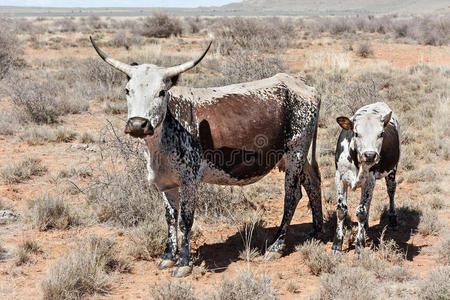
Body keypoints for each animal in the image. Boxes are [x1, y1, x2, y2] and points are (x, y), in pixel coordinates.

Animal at [90, 37, 324, 276]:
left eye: (162, 92)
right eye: (127, 90)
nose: (138, 124)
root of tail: (302, 84)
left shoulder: (190, 181)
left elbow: (185, 221)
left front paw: (183, 263)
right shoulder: (165, 182)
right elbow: (170, 218)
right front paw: (167, 256)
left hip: (295, 152)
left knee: (292, 196)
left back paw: (276, 246)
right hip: (297, 155)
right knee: (313, 182)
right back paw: (316, 231)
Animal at [330, 101, 400, 253]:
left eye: (381, 133)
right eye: (356, 133)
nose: (370, 155)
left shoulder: (369, 181)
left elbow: (361, 212)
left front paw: (359, 245)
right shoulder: (340, 178)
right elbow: (341, 210)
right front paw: (336, 245)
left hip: (392, 170)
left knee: (391, 190)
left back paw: (393, 220)